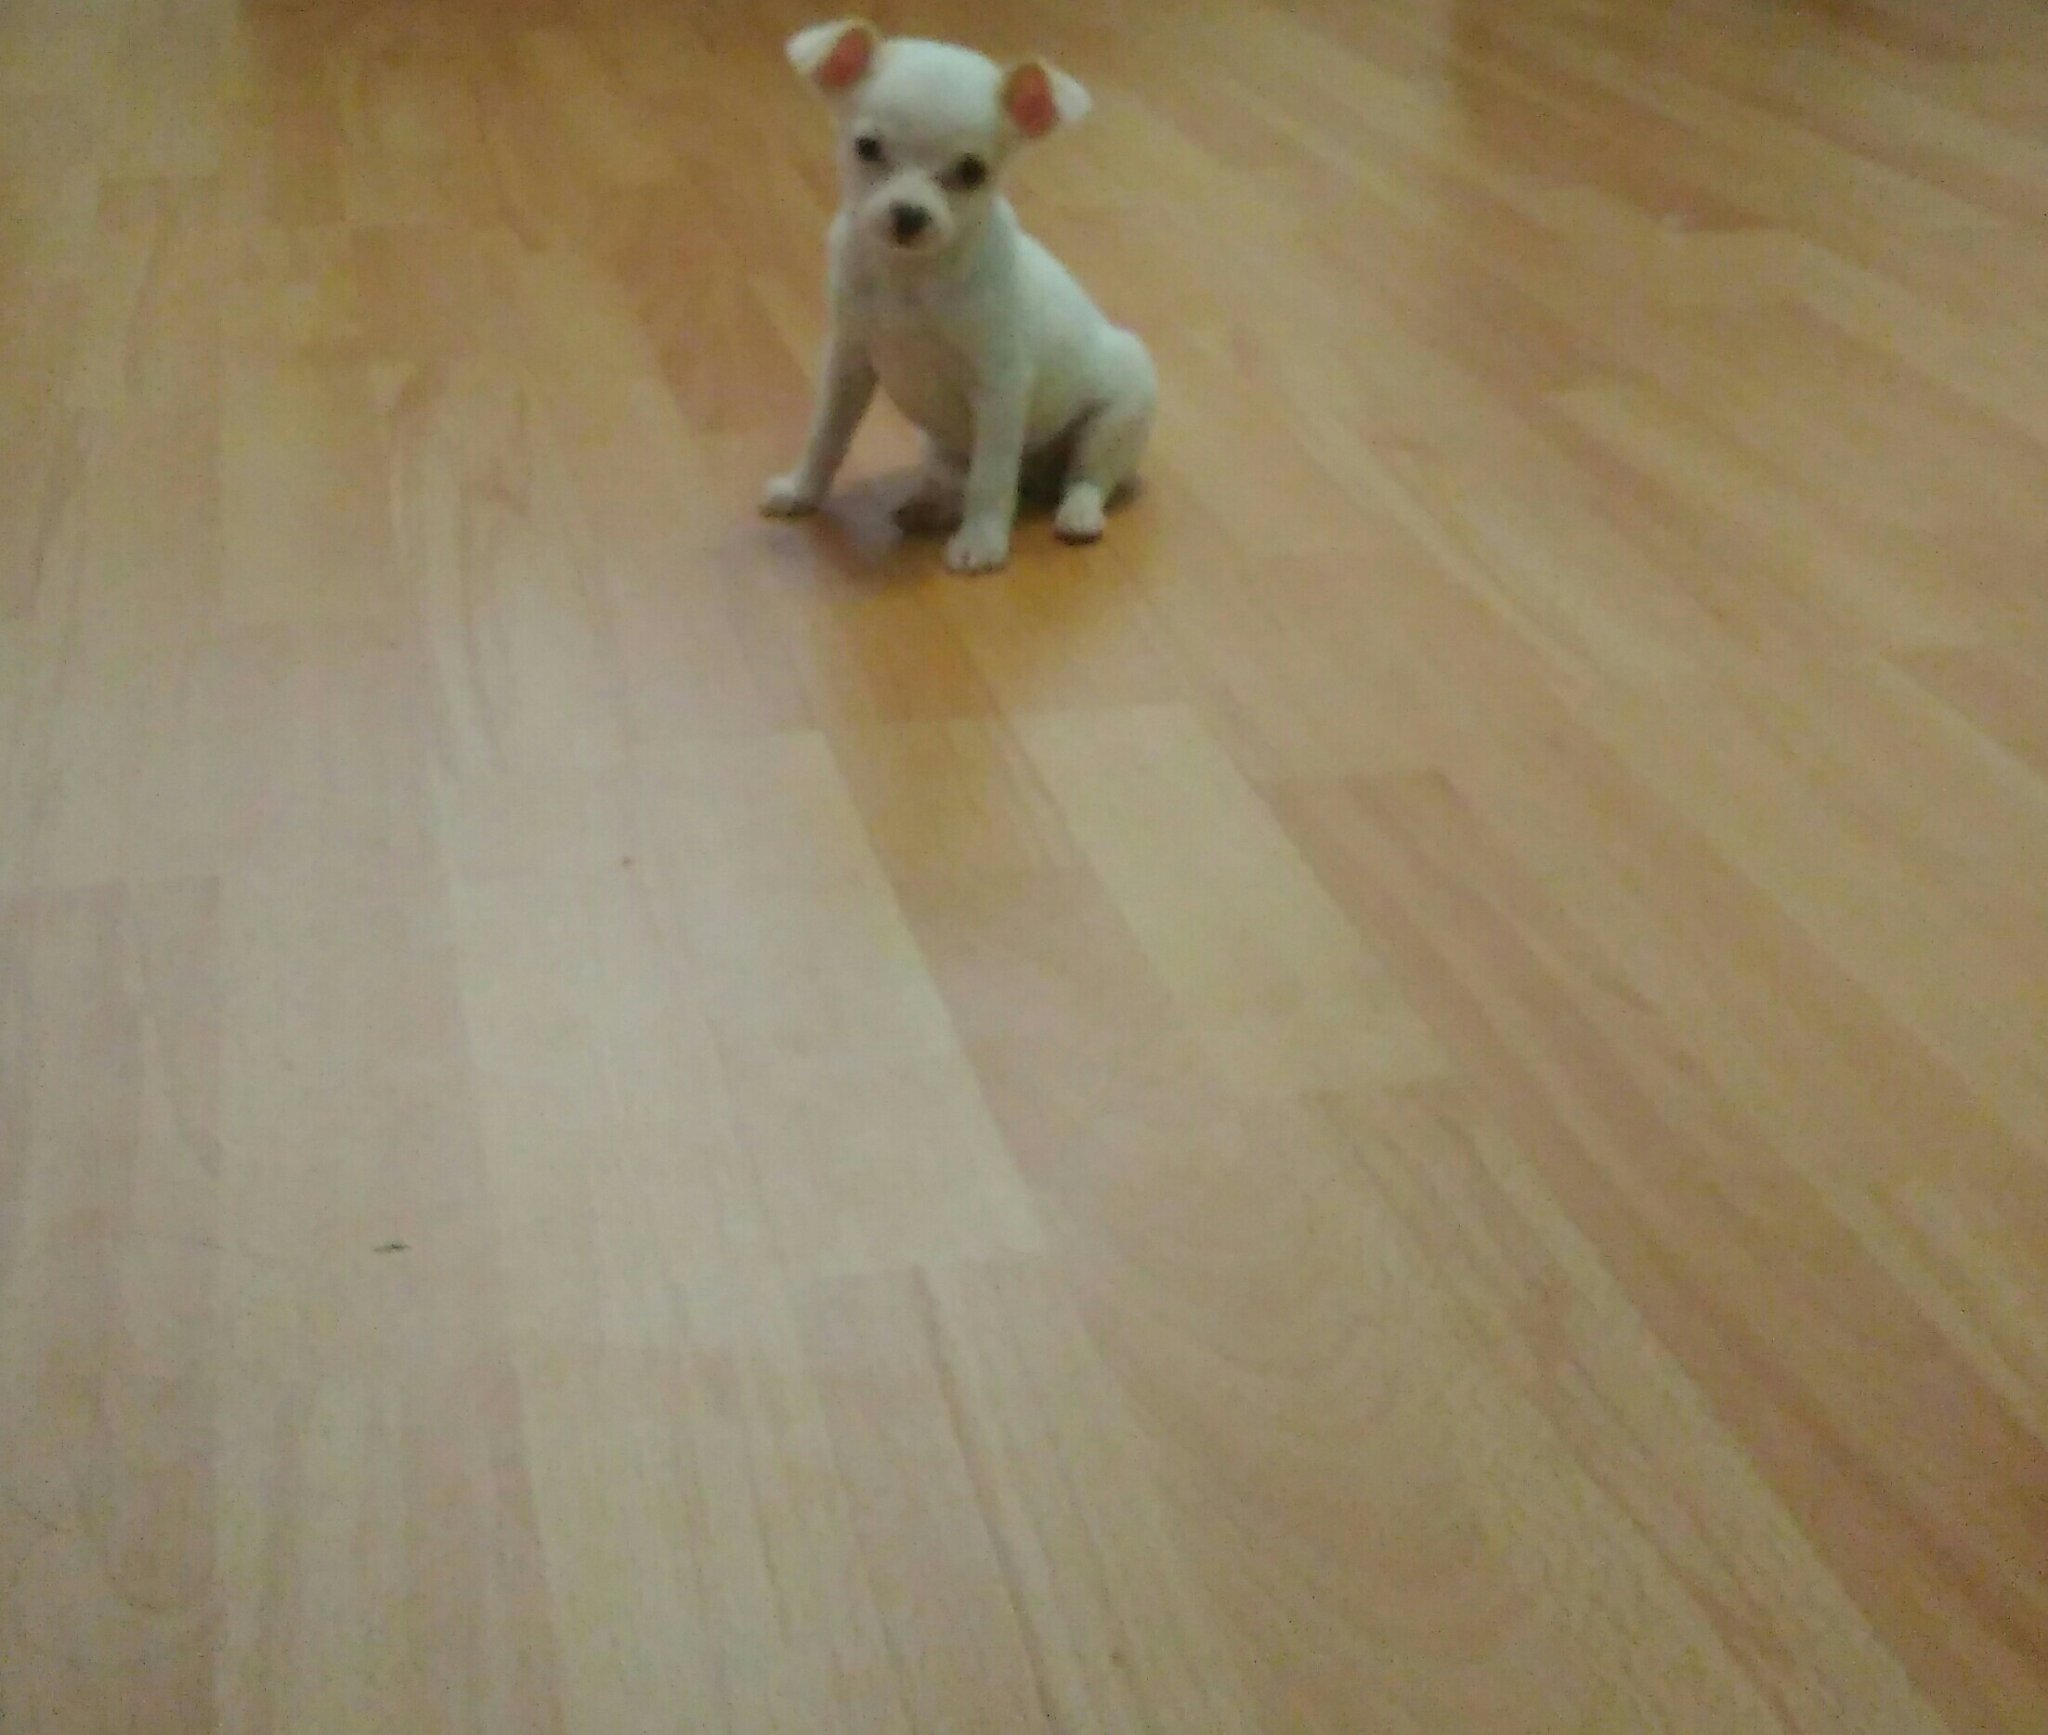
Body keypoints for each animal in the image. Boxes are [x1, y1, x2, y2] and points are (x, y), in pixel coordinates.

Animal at [762, 19, 1157, 573]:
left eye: (972, 172)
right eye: (866, 147)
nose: (909, 214)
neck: (910, 277)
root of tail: (1039, 478)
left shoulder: (1000, 388)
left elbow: (992, 479)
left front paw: (982, 542)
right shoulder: (848, 366)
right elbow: (826, 438)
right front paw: (802, 491)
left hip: (1116, 416)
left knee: (1083, 478)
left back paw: (1077, 513)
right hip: (942, 444)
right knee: (961, 480)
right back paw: (930, 507)